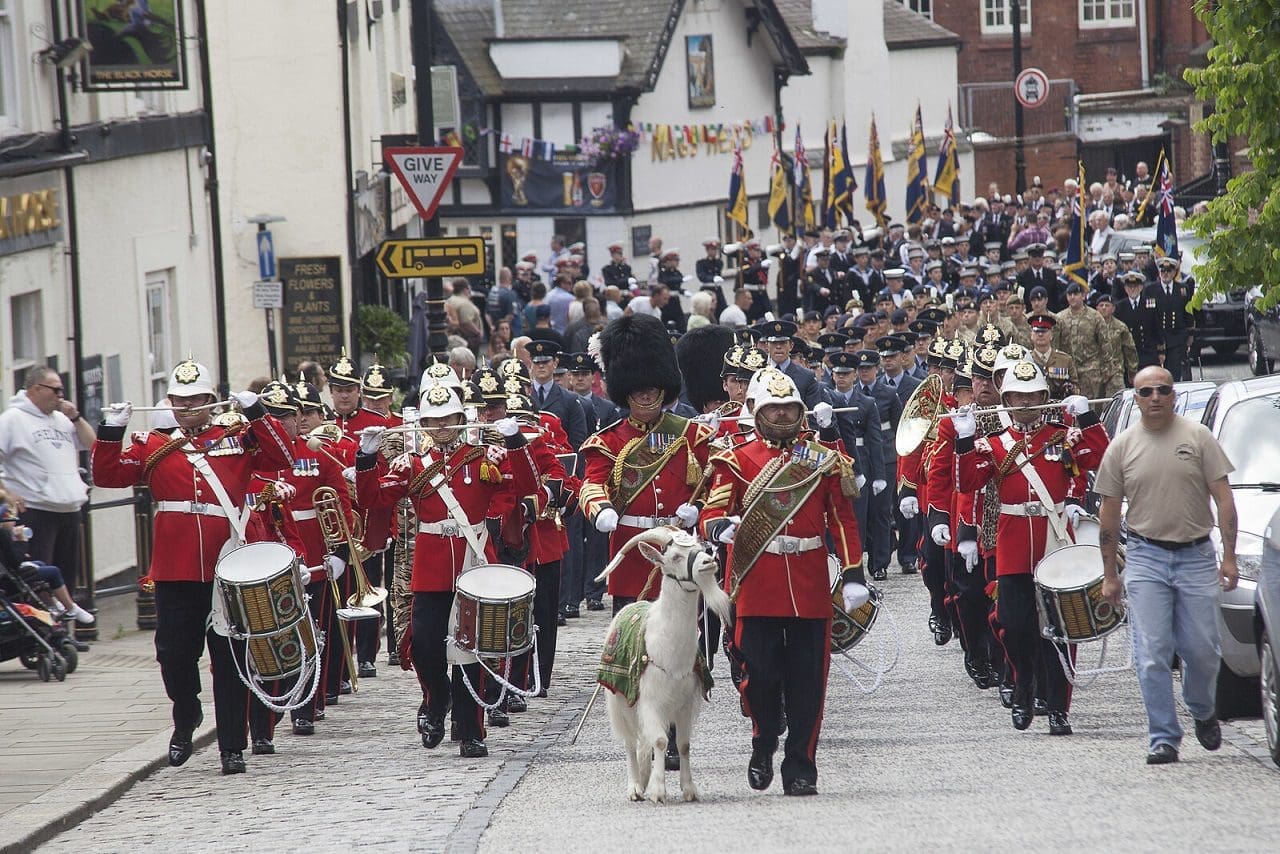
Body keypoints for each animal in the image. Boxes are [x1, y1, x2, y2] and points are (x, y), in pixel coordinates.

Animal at [591, 524, 727, 804]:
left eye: (700, 547)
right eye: (675, 556)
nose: (709, 562)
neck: (668, 649)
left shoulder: (684, 704)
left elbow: (682, 744)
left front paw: (689, 789)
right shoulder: (650, 701)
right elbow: (661, 742)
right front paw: (658, 791)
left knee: (644, 742)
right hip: (620, 701)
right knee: (630, 742)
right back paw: (635, 787)